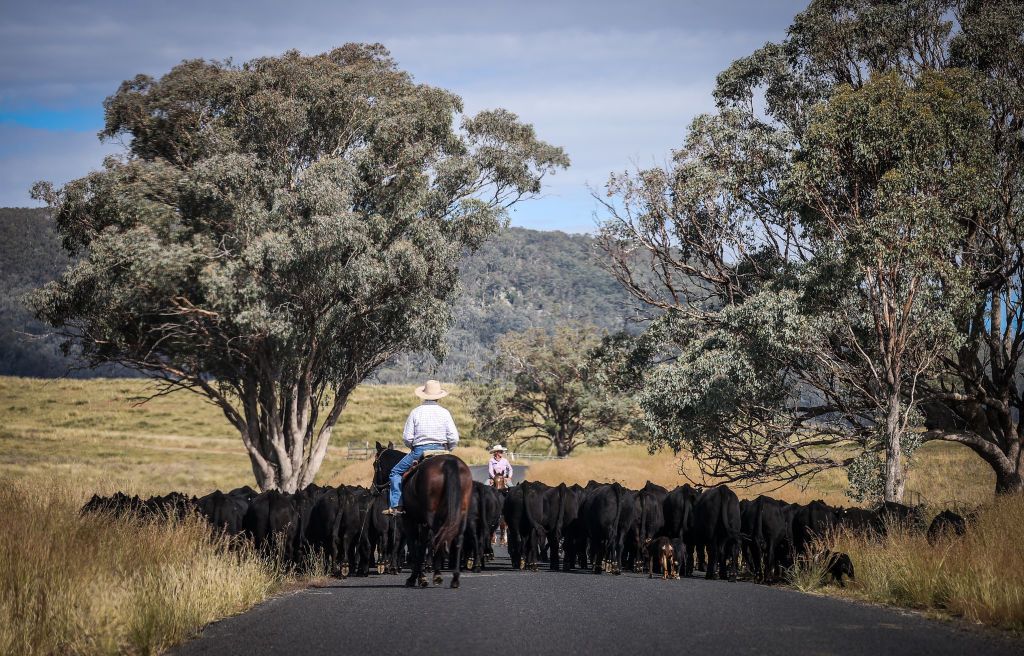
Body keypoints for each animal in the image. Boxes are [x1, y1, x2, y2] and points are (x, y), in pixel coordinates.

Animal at [374, 440, 473, 589]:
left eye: (375, 464)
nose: (373, 488)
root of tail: (449, 464)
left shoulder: (409, 521)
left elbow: (414, 546)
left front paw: (417, 577)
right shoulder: (422, 523)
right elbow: (421, 545)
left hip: (431, 517)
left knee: (436, 539)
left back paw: (435, 575)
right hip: (459, 515)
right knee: (455, 539)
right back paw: (454, 578)